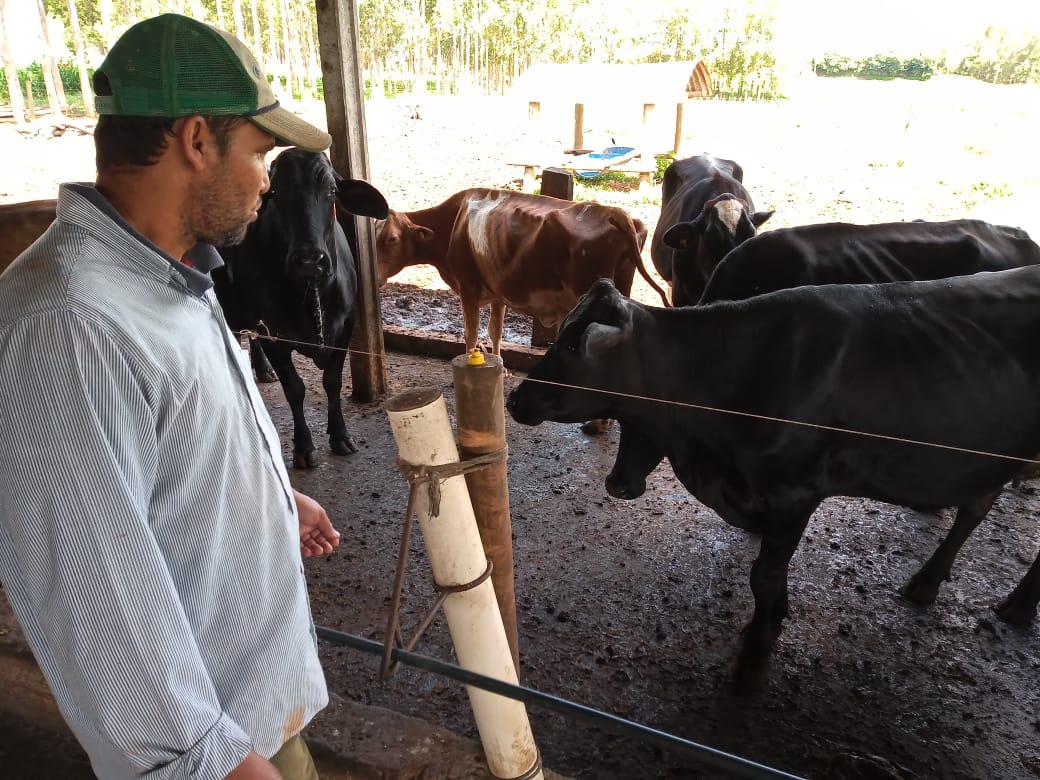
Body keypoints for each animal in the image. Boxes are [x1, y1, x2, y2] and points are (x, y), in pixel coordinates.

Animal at [213, 150, 388, 474]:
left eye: (331, 191)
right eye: (276, 193)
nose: (310, 260)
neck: (311, 294)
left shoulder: (346, 325)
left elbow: (332, 380)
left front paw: (340, 436)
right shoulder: (271, 331)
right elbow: (295, 388)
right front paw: (304, 447)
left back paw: (262, 369)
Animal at [374, 188, 665, 353]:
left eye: (392, 239)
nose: (374, 276)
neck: (454, 222)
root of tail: (616, 213)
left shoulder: (467, 287)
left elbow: (471, 335)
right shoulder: (496, 292)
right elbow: (495, 331)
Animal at [507, 276, 1040, 690]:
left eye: (572, 345)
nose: (515, 401)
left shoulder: (794, 492)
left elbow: (764, 575)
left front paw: (755, 656)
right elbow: (773, 574)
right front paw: (774, 621)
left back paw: (1018, 606)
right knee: (977, 505)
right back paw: (928, 582)